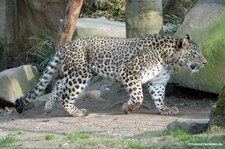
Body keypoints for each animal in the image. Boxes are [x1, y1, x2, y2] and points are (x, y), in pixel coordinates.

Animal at [14, 33, 206, 116]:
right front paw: (127, 108)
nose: (205, 62)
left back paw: (48, 105)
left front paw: (165, 109)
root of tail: (69, 43)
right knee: (66, 96)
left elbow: (159, 97)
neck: (168, 58)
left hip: (81, 73)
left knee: (60, 84)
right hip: (80, 75)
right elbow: (138, 96)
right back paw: (78, 112)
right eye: (195, 53)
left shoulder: (157, 81)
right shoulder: (128, 71)